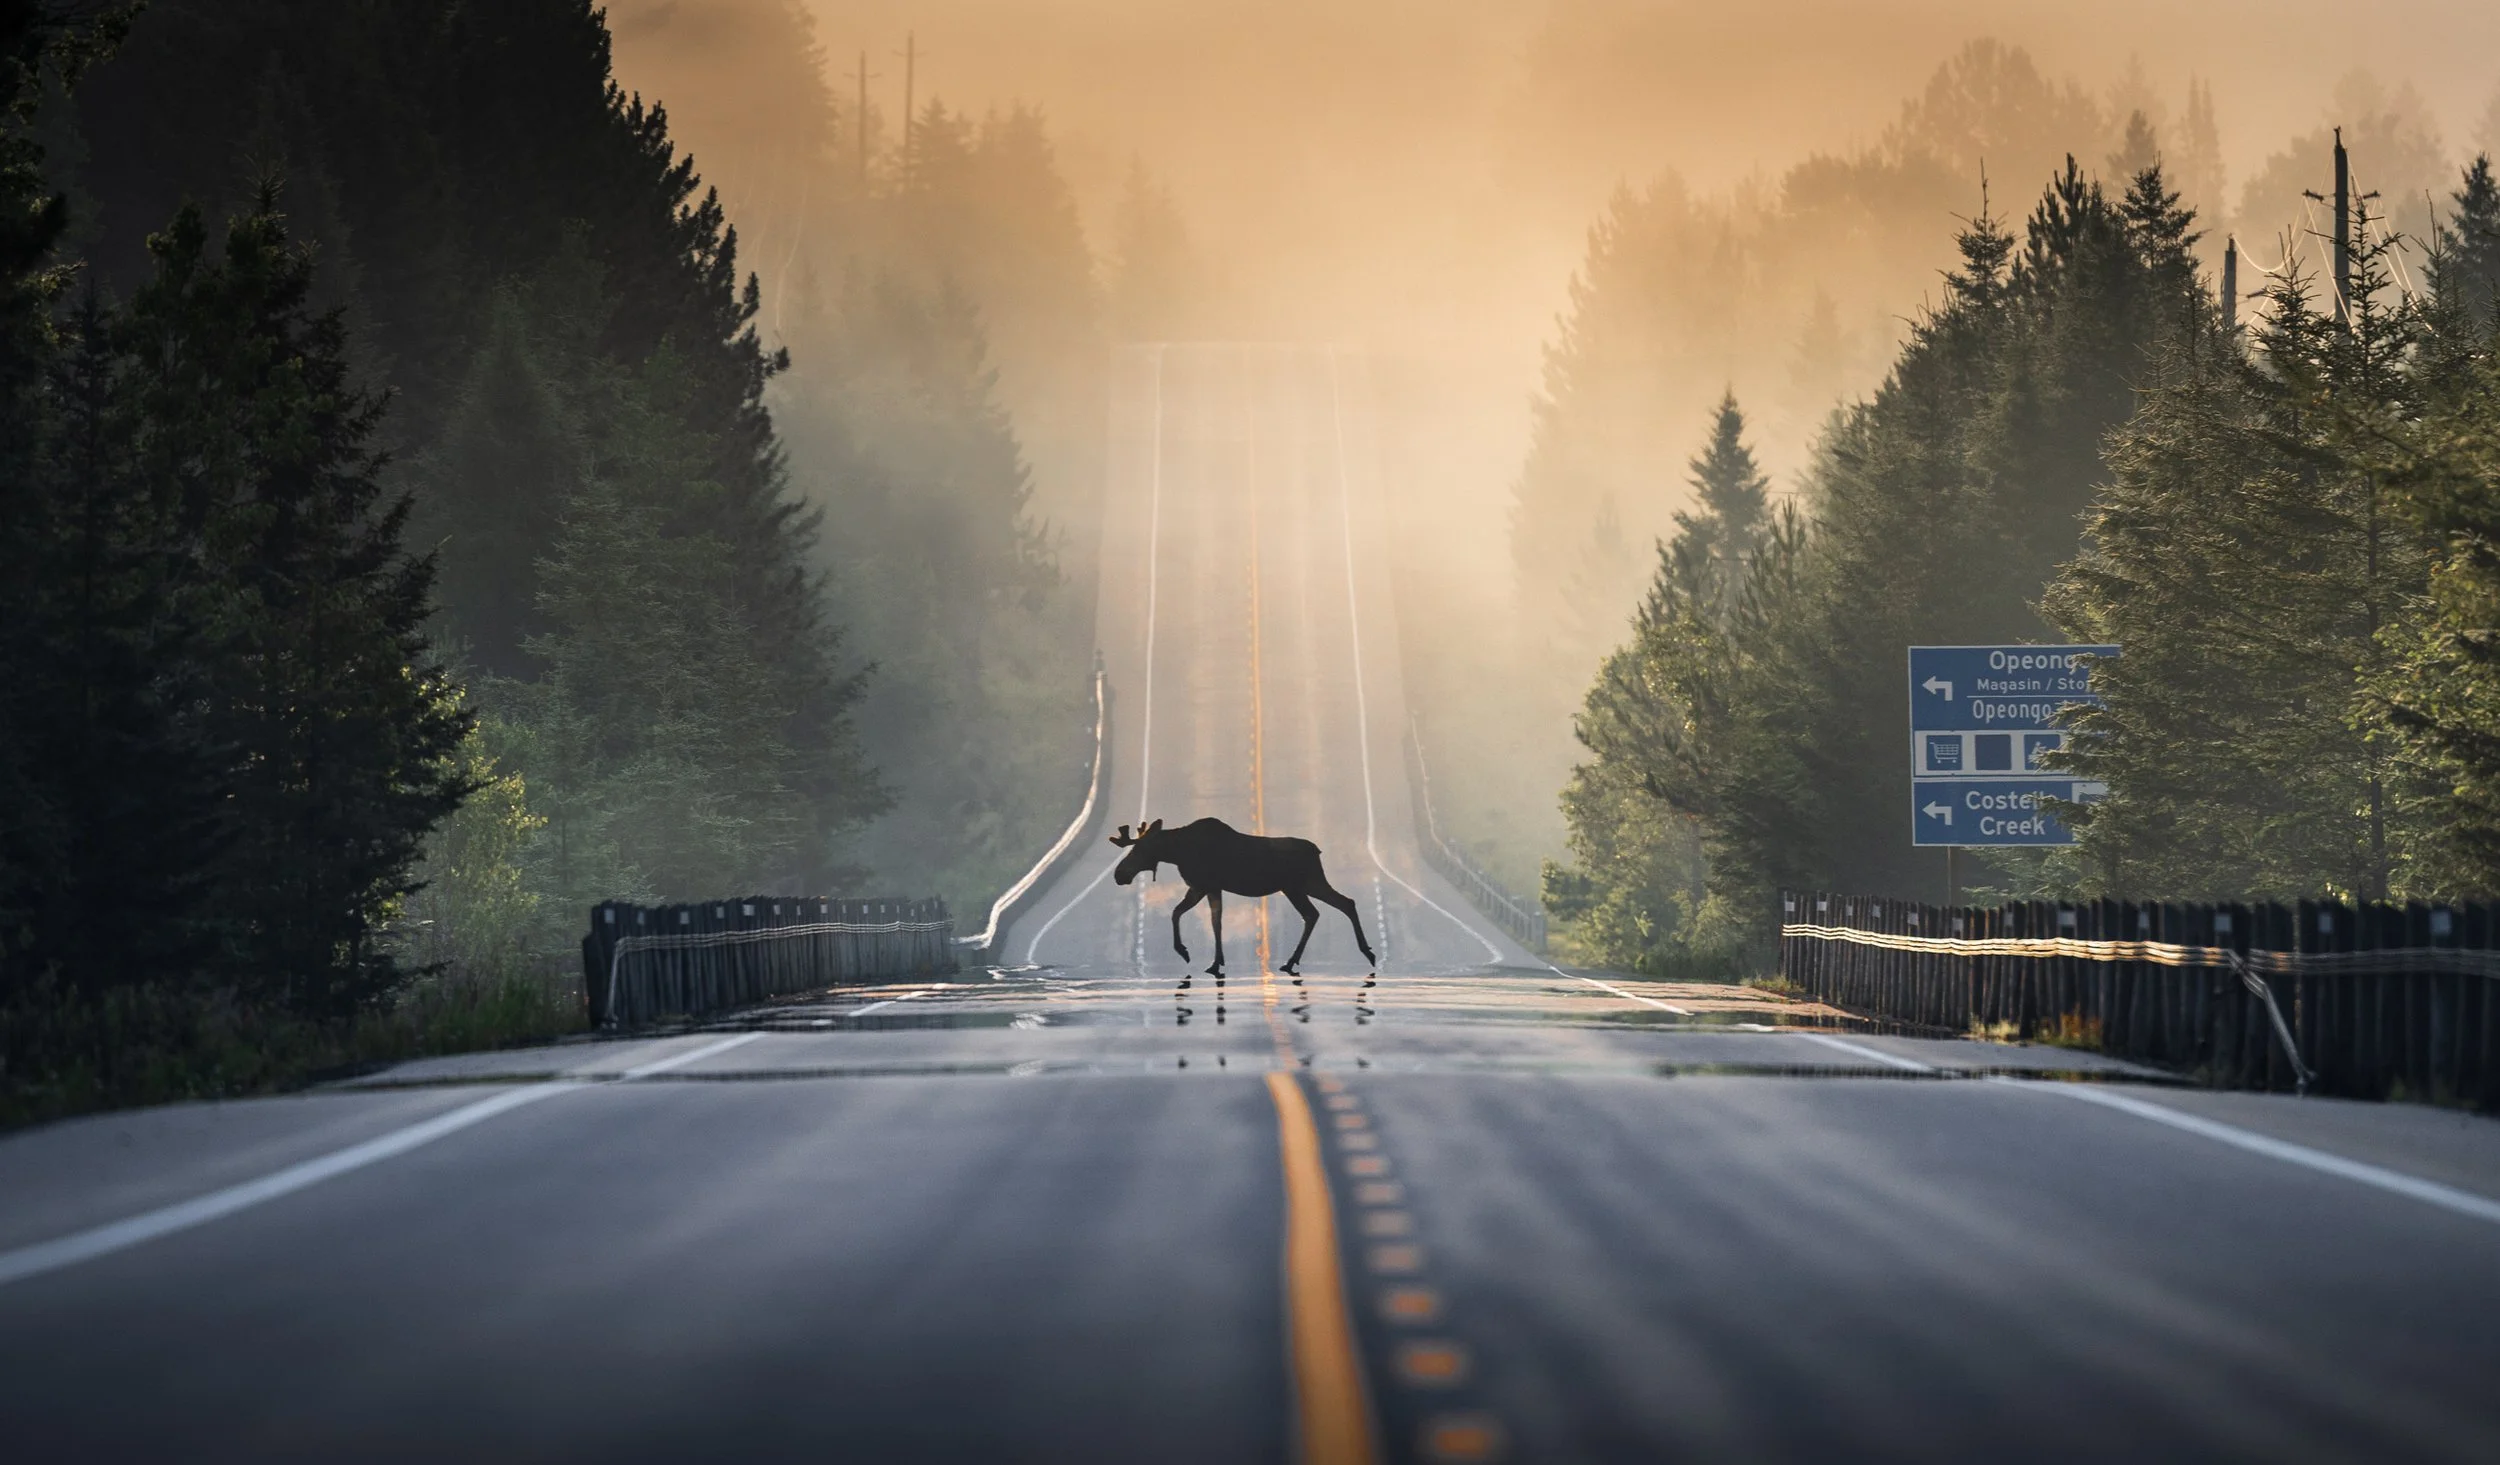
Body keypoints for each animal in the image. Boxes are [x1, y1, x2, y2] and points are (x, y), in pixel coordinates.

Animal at [1108, 818, 1377, 978]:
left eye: (1141, 849)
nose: (1119, 874)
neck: (1176, 852)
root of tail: (1317, 851)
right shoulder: (1208, 887)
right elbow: (1210, 920)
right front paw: (1215, 961)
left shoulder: (1203, 885)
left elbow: (1184, 914)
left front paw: (1186, 952)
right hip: (1301, 885)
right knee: (1336, 906)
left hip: (1300, 884)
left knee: (1326, 909)